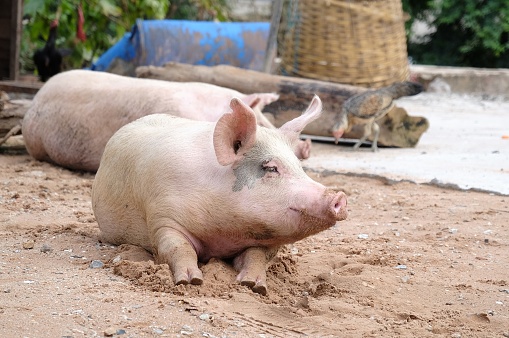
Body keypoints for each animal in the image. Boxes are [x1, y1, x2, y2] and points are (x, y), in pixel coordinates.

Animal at [91, 93, 348, 294]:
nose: (340, 197)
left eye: (299, 166)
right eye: (271, 168)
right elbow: (177, 247)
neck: (224, 234)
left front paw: (254, 286)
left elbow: (257, 257)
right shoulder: (162, 217)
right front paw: (191, 281)